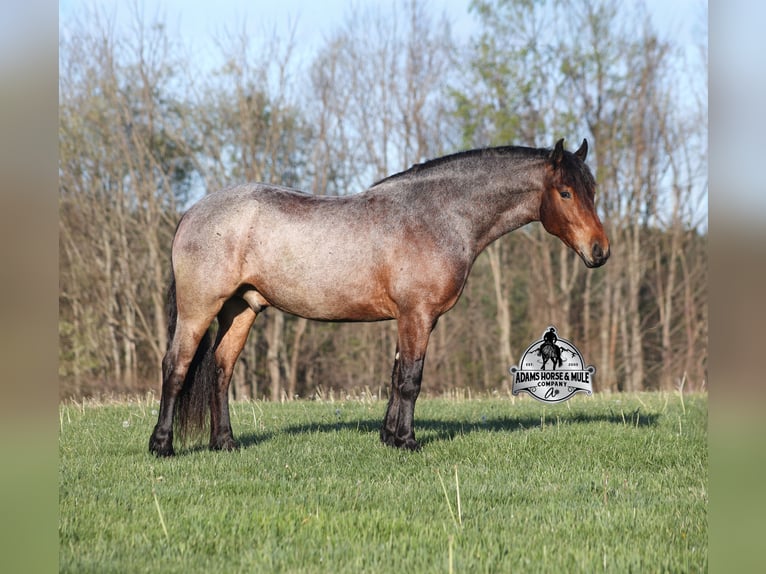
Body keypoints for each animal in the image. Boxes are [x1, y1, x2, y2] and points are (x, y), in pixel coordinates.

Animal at [149, 138, 609, 456]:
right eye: (565, 192)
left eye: (593, 190)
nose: (600, 250)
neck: (438, 215)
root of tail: (191, 213)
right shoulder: (417, 315)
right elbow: (410, 380)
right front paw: (407, 441)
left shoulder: (409, 318)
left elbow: (395, 376)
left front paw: (389, 437)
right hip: (199, 309)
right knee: (176, 367)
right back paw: (162, 446)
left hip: (241, 308)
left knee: (221, 370)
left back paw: (224, 443)